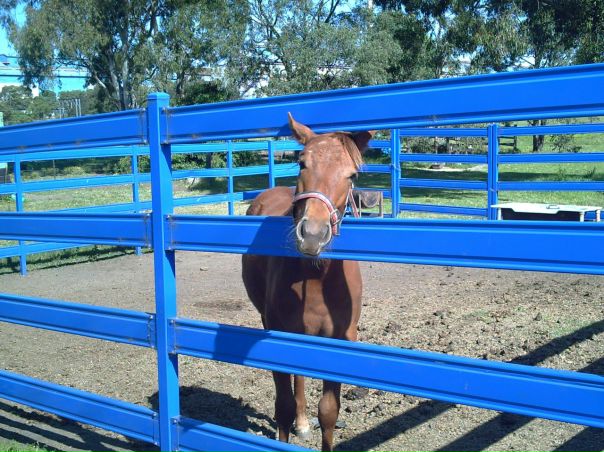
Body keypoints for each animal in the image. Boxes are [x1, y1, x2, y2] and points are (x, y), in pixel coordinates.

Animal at [242, 113, 374, 452]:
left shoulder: (341, 337)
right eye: (302, 163)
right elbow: (284, 407)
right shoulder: (277, 331)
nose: (313, 234)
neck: (316, 279)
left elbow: (328, 412)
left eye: (352, 175)